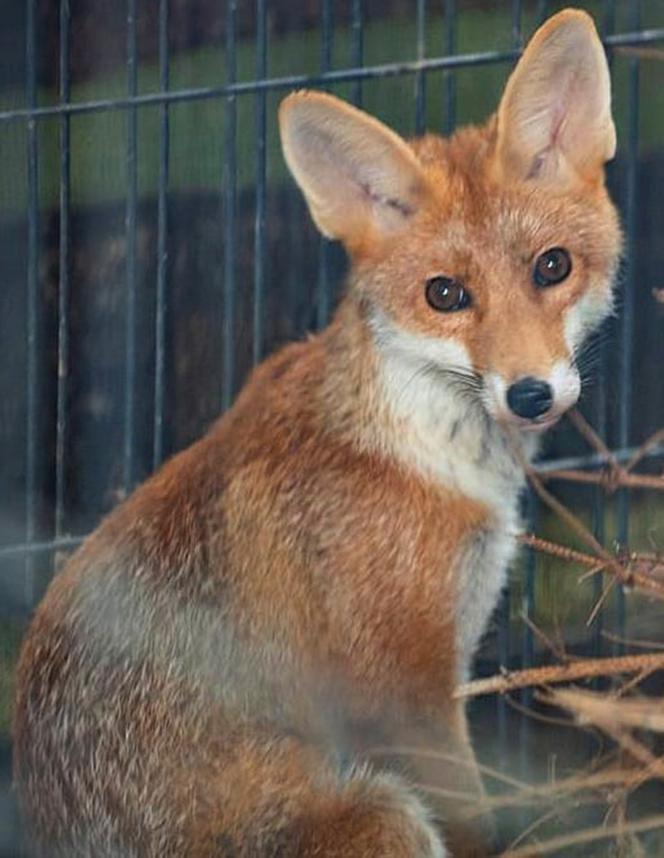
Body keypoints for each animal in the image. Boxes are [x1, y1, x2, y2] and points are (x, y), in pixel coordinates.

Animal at [11, 8, 624, 856]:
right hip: (384, 811)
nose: (530, 394)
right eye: (445, 295)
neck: (421, 454)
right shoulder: (408, 691)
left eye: (552, 267)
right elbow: (477, 824)